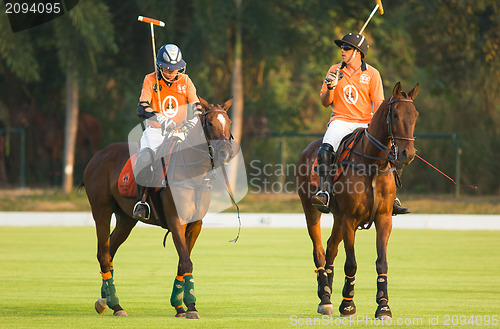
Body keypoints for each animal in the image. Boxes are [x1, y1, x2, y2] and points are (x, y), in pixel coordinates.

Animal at [84, 96, 234, 316]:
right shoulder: (176, 221)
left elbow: (182, 263)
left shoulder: (195, 225)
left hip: (126, 219)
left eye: (229, 122)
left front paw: (180, 306)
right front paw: (190, 306)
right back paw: (116, 305)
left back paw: (105, 300)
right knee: (104, 254)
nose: (226, 153)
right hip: (101, 210)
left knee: (108, 252)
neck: (193, 174)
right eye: (210, 123)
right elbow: (186, 261)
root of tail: (97, 156)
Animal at [296, 81, 418, 318]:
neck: (374, 163)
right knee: (319, 251)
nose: (407, 153)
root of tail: (308, 148)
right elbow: (351, 263)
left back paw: (328, 291)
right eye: (395, 114)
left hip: (337, 217)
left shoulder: (383, 218)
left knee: (331, 248)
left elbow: (382, 262)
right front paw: (348, 305)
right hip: (311, 209)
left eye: (415, 114)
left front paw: (383, 306)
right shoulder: (350, 219)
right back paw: (325, 298)